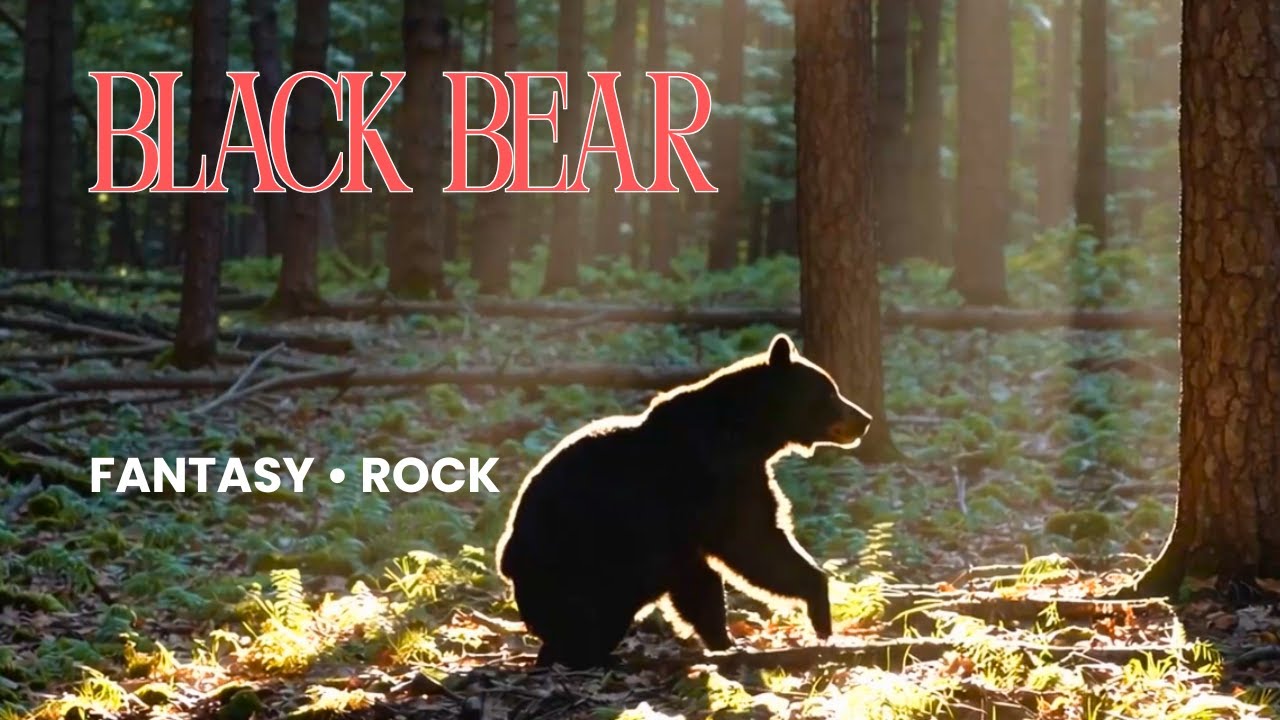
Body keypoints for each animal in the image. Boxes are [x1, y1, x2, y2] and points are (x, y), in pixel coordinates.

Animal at [495, 333, 872, 669]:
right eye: (831, 391)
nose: (864, 419)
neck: (750, 432)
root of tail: (507, 564)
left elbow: (702, 577)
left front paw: (724, 641)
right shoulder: (718, 477)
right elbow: (754, 542)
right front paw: (819, 609)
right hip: (582, 561)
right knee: (591, 615)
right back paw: (592, 654)